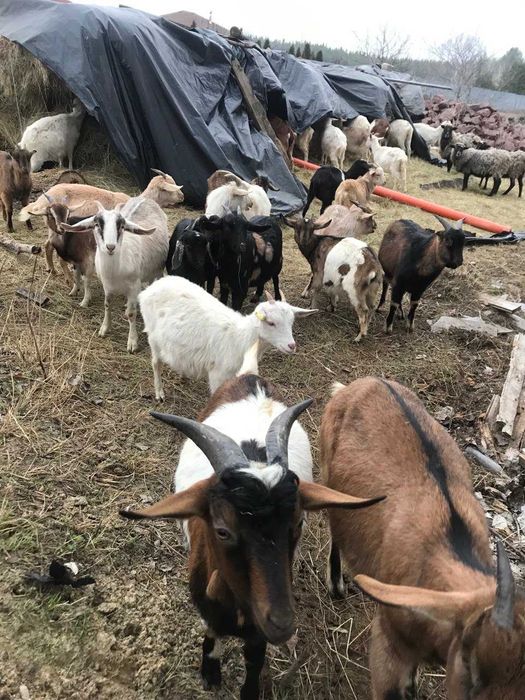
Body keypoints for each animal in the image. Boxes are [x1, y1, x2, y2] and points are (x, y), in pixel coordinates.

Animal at [60, 198, 169, 352]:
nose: (110, 247)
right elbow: (107, 305)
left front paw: (132, 341)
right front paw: (104, 328)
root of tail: (145, 198)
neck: (115, 269)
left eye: (122, 226)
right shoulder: (107, 285)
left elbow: (131, 313)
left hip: (158, 270)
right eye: (97, 224)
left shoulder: (134, 285)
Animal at [121, 373, 383, 697]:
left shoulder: (259, 623)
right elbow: (213, 633)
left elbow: (254, 657)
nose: (282, 623)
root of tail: (250, 379)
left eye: (298, 522)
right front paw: (210, 672)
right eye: (222, 530)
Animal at [138, 275, 317, 398]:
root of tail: (149, 289)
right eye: (271, 323)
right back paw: (159, 392)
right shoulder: (218, 374)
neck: (241, 338)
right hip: (153, 338)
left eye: (291, 322)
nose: (291, 346)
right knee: (156, 363)